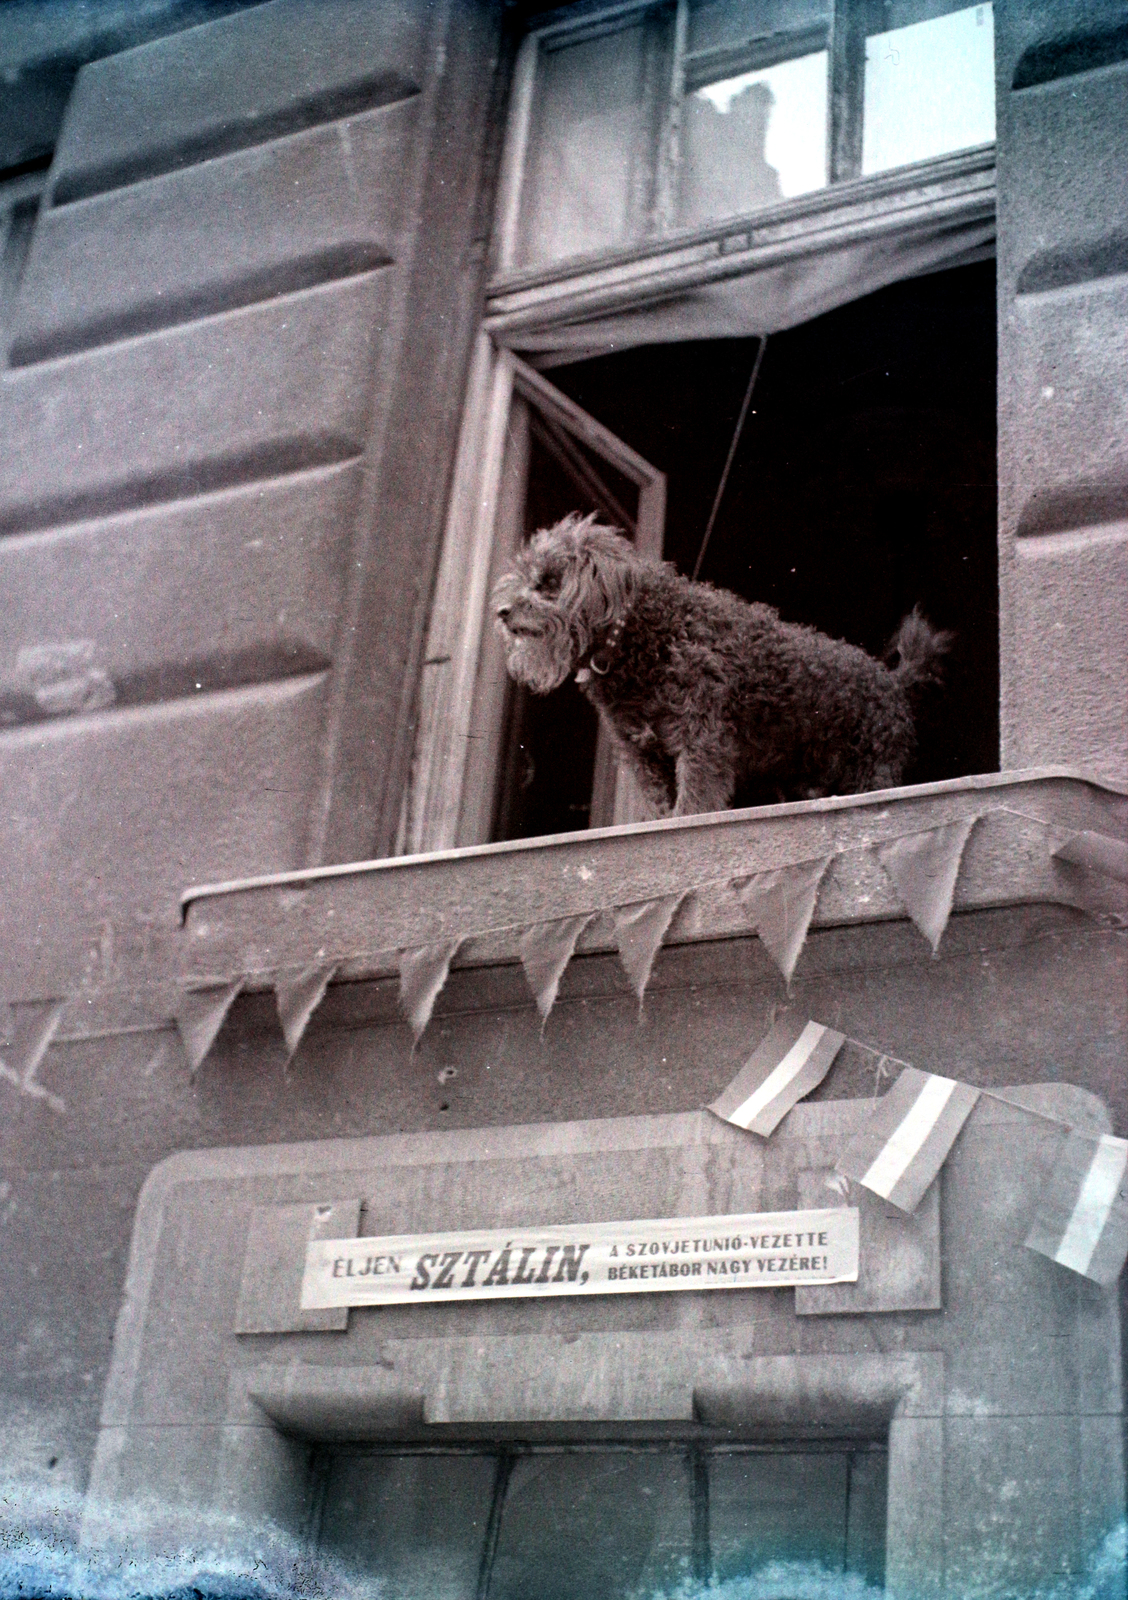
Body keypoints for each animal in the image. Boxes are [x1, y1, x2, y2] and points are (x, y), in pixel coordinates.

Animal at [492, 512, 947, 812]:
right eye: (528, 577)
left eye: (550, 583)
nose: (501, 612)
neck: (644, 634)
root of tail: (892, 680)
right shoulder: (646, 758)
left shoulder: (701, 742)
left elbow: (693, 807)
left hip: (871, 771)